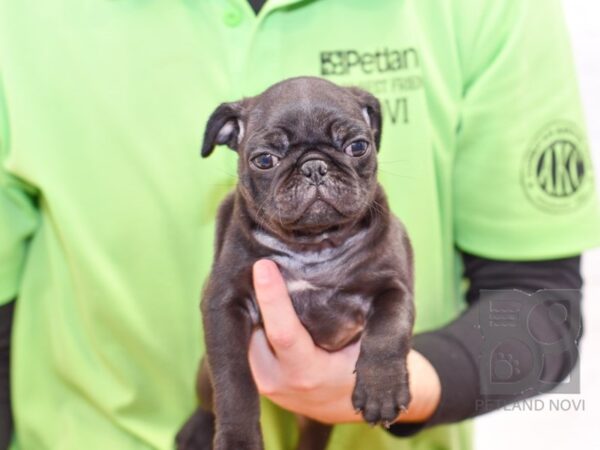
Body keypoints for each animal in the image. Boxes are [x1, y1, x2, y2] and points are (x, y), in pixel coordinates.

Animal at [176, 77, 414, 450]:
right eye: (264, 159)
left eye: (358, 146)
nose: (313, 166)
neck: (312, 245)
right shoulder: (223, 303)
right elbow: (232, 379)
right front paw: (238, 439)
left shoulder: (394, 286)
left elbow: (388, 331)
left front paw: (382, 390)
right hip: (202, 375)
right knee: (208, 398)